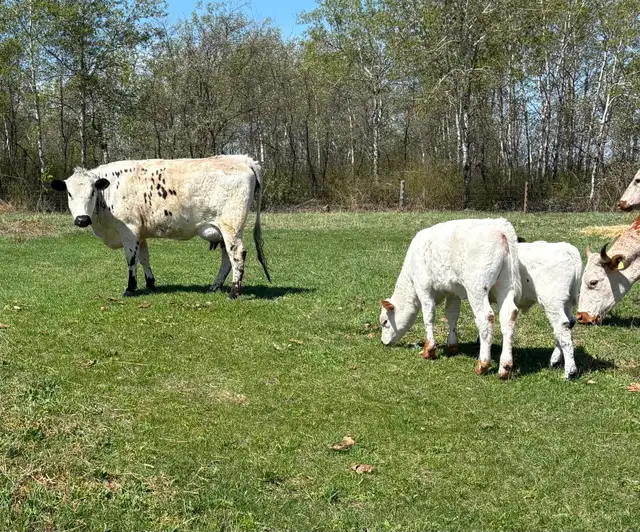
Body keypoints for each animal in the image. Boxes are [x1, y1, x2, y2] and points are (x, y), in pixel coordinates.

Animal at [50, 155, 271, 298]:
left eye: (92, 192)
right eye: (69, 193)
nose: (82, 220)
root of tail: (243, 159)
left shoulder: (129, 230)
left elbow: (131, 260)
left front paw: (130, 288)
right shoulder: (140, 233)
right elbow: (144, 258)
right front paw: (150, 283)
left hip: (231, 226)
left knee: (237, 254)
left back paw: (234, 292)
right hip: (221, 230)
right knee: (226, 259)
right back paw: (214, 287)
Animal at [379, 218, 521, 379]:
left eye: (385, 322)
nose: (383, 342)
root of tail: (499, 227)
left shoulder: (423, 286)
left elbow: (428, 315)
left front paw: (429, 350)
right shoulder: (453, 291)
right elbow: (452, 314)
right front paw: (452, 345)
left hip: (477, 287)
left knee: (485, 318)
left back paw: (482, 365)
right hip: (506, 284)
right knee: (509, 316)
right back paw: (505, 368)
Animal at [516, 241, 582, 379]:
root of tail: (565, 247)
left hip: (552, 301)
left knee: (562, 327)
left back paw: (569, 372)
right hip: (566, 302)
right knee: (569, 324)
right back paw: (555, 360)